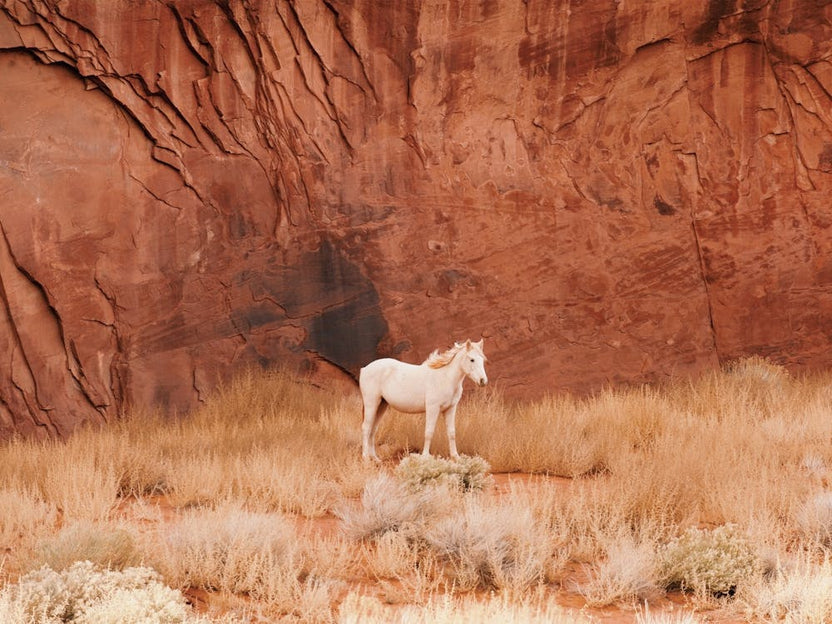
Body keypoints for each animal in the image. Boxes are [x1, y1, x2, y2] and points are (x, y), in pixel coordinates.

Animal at [359, 339, 488, 461]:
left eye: (482, 360)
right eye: (472, 359)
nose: (483, 381)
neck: (445, 378)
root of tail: (364, 369)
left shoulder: (450, 409)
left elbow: (451, 433)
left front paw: (455, 457)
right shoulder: (433, 408)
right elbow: (429, 432)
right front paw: (425, 456)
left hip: (381, 405)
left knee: (373, 430)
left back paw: (375, 458)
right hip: (371, 404)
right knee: (366, 428)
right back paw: (366, 458)